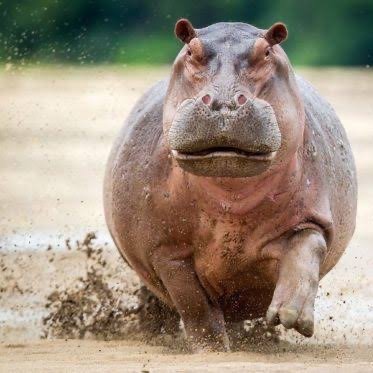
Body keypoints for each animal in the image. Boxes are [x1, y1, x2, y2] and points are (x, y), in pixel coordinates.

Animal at [103, 18, 356, 352]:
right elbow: (193, 303)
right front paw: (211, 350)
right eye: (190, 51)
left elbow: (306, 250)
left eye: (266, 52)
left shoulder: (312, 217)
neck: (231, 197)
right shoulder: (166, 250)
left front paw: (290, 316)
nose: (223, 102)